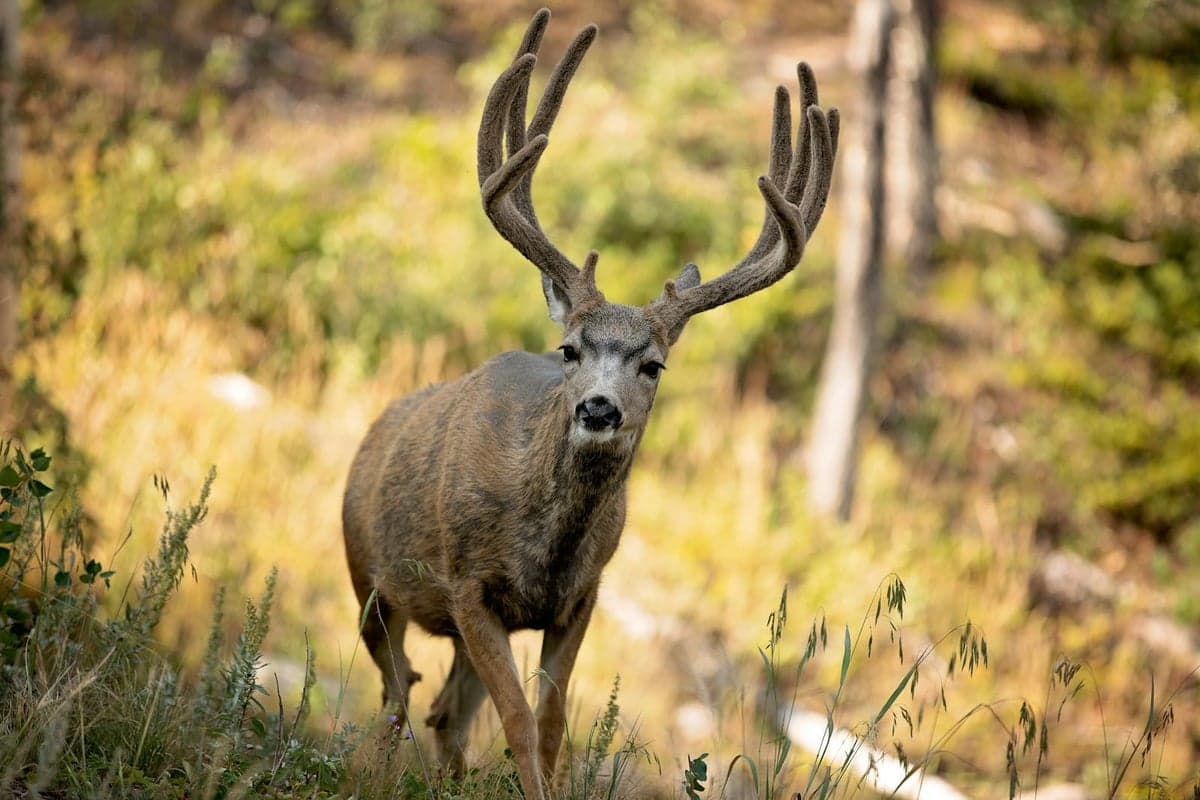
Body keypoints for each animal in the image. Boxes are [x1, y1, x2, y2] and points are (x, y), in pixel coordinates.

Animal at [341, 9, 838, 800]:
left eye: (654, 365)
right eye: (569, 349)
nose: (600, 410)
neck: (545, 543)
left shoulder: (581, 597)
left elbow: (550, 725)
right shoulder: (467, 584)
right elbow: (517, 722)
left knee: (441, 709)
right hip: (367, 578)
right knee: (396, 696)